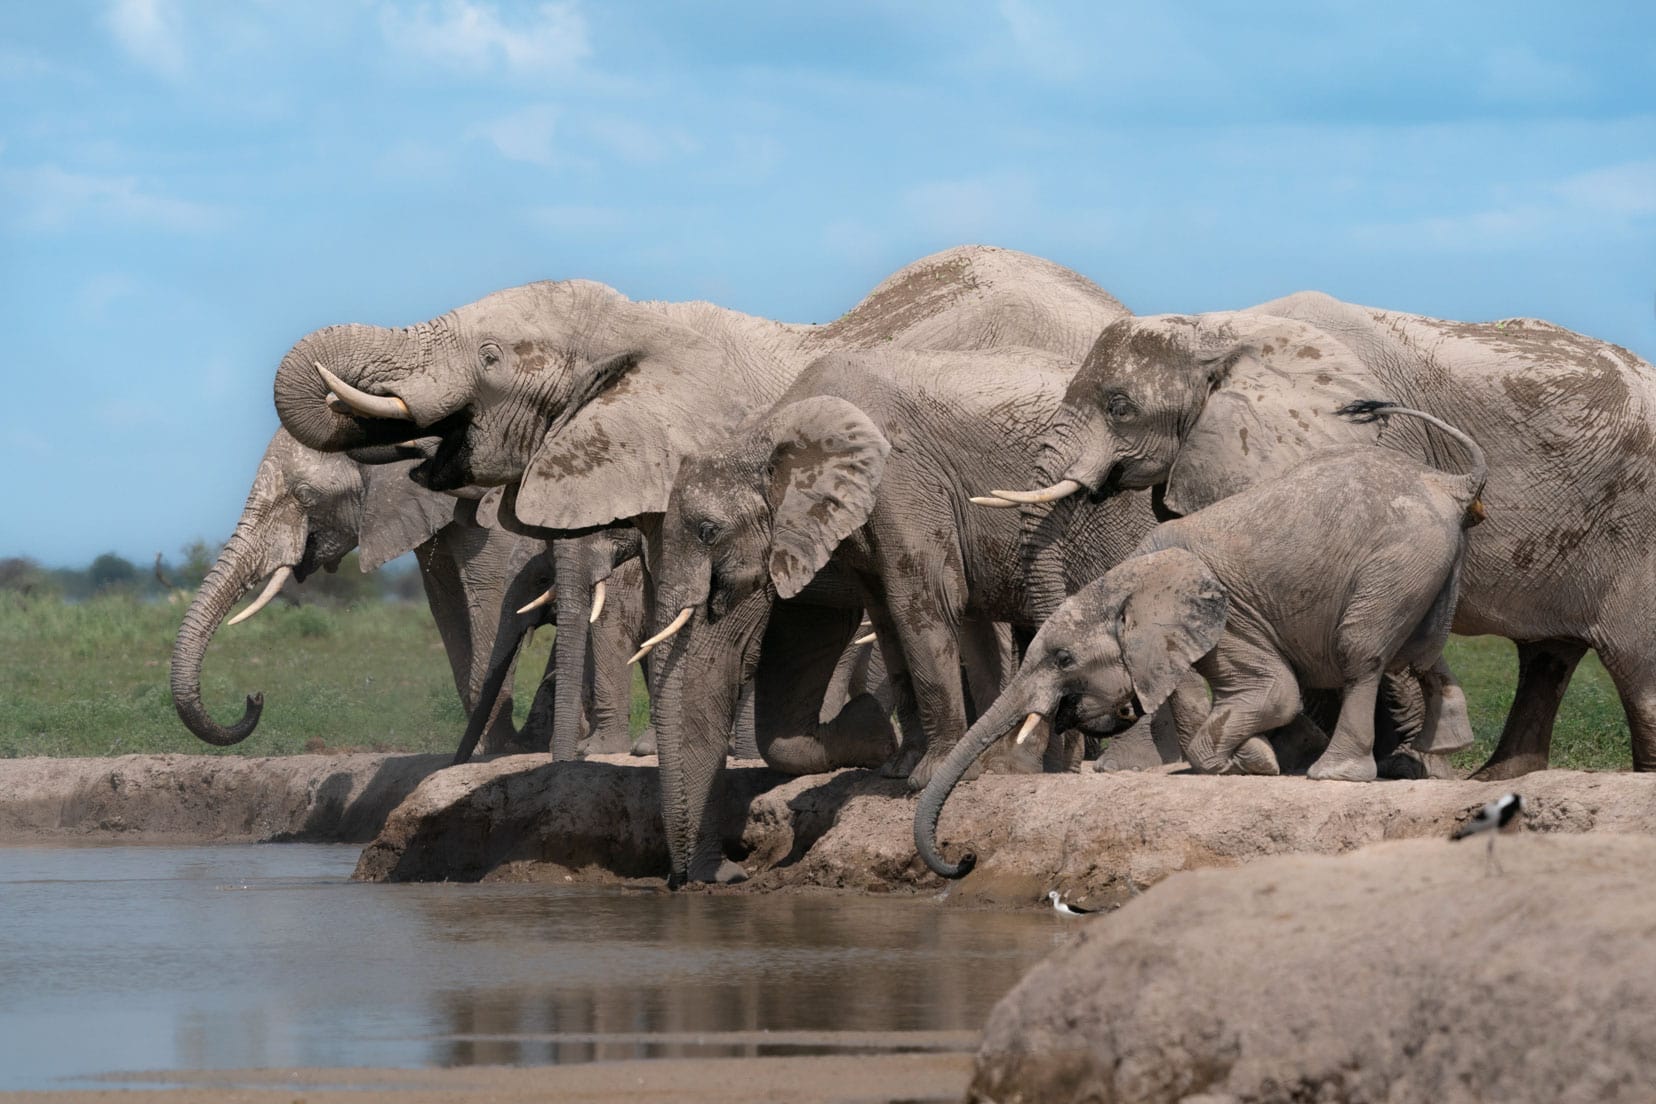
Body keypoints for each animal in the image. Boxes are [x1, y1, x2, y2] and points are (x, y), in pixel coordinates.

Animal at [920, 405, 1490, 880]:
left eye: (1064, 659)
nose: (963, 859)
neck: (1127, 580)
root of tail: (1449, 483)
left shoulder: (1229, 619)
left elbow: (1275, 692)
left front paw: (1254, 764)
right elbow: (1195, 696)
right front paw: (1268, 757)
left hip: (1397, 560)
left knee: (1360, 654)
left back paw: (1335, 774)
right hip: (1429, 564)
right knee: (1423, 653)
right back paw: (1442, 747)